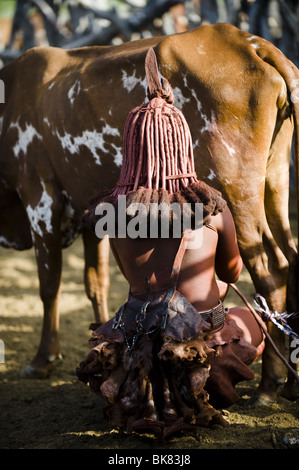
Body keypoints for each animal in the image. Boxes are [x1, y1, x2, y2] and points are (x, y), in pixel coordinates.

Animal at [0, 23, 299, 404]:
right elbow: (95, 282)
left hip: (239, 192)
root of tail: (250, 42)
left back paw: (268, 385)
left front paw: (43, 360)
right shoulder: (90, 211)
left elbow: (49, 284)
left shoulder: (40, 199)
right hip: (275, 180)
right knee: (292, 257)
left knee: (272, 269)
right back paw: (290, 383)